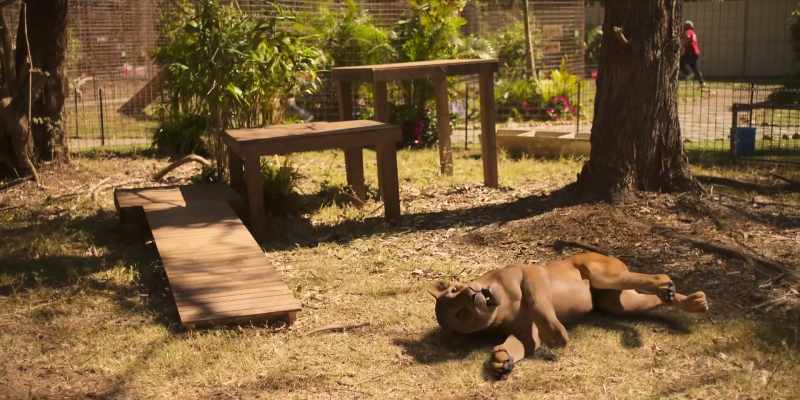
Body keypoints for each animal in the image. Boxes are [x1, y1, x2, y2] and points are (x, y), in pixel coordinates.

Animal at [430, 245, 708, 379]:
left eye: (455, 289)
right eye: (461, 314)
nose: (473, 294)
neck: (501, 305)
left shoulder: (530, 273)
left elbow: (539, 303)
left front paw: (556, 335)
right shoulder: (526, 333)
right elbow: (518, 344)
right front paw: (500, 360)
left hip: (601, 274)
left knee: (647, 278)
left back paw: (665, 284)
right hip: (619, 303)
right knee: (650, 299)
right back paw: (690, 301)